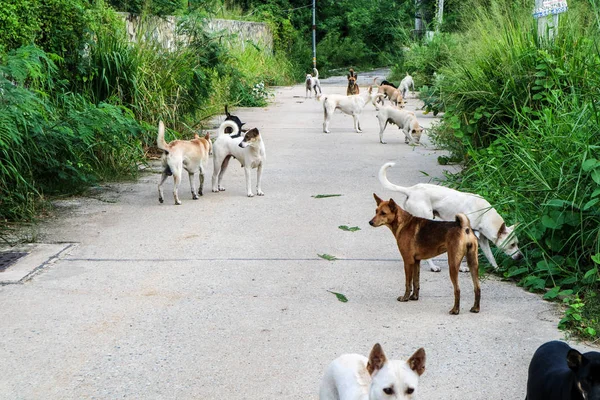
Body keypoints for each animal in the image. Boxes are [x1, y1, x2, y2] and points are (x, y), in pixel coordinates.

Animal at [382, 162, 524, 272]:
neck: (485, 215)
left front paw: (497, 269)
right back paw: (433, 266)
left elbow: (490, 257)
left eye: (517, 243)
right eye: (512, 245)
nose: (521, 257)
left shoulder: (483, 240)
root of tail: (411, 190)